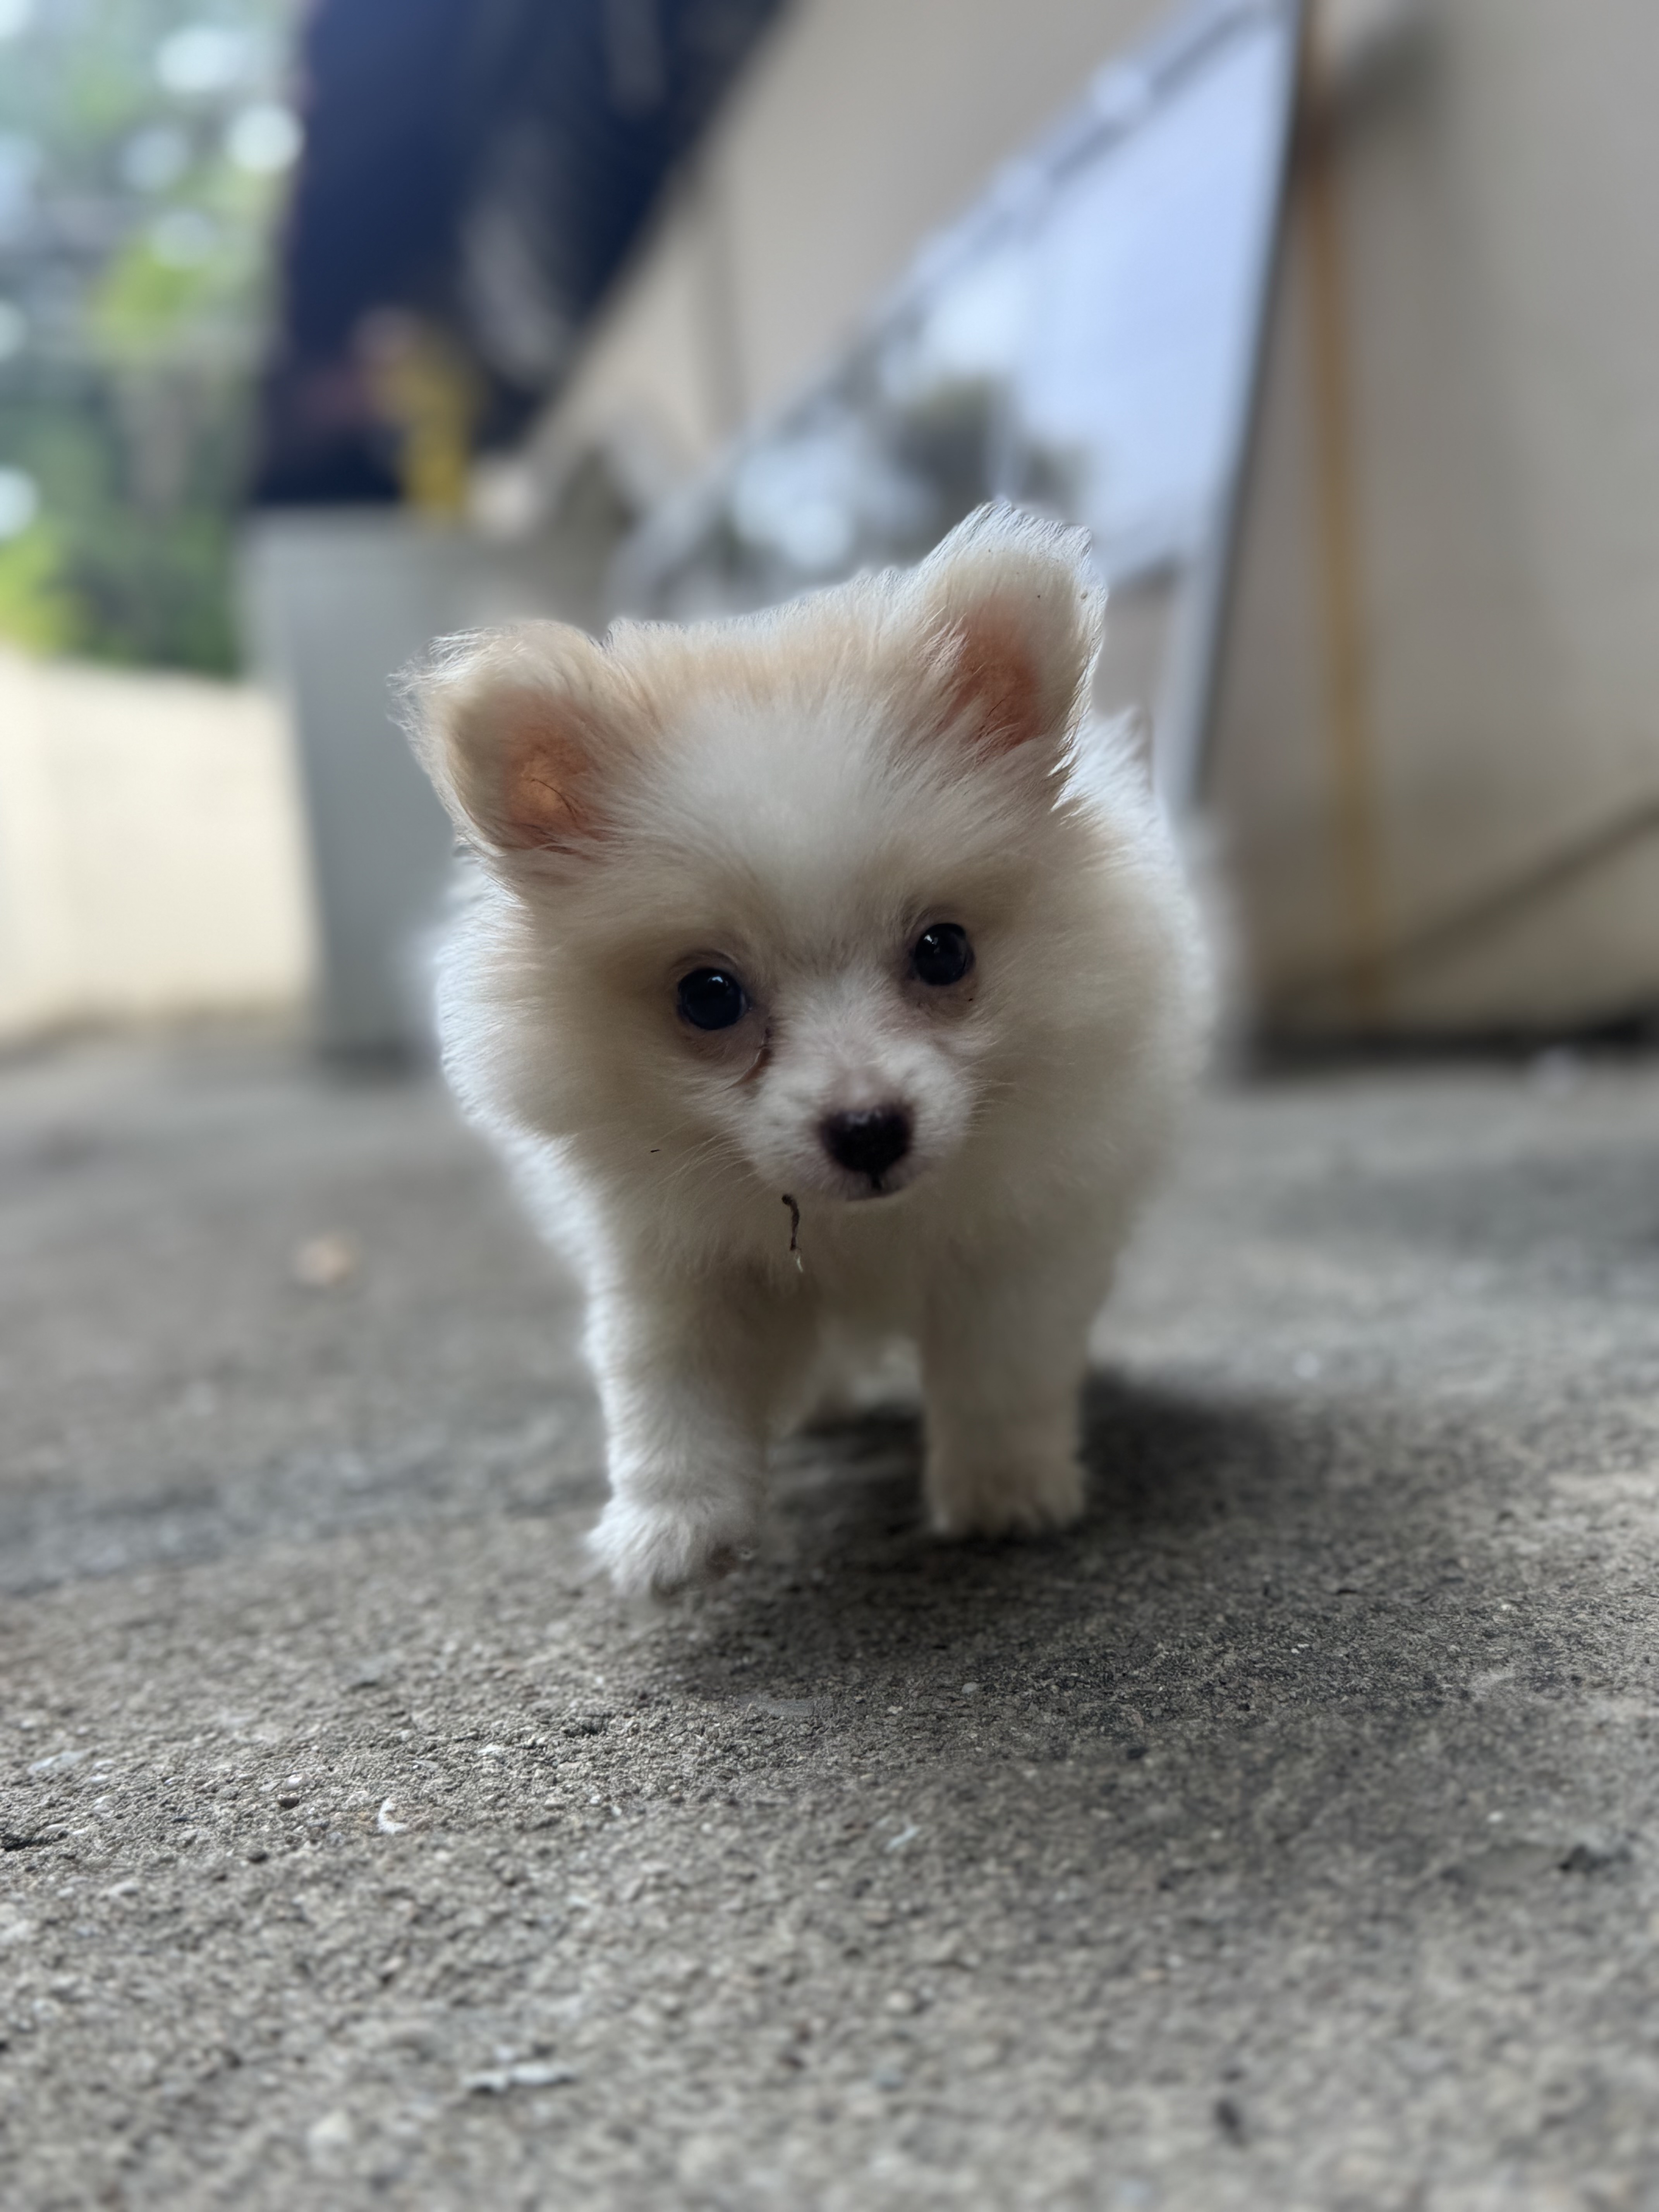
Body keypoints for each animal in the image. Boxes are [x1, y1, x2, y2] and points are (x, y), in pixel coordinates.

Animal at [402, 507, 1212, 1592]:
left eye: (943, 950)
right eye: (707, 996)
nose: (868, 1130)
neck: (860, 1229)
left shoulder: (1021, 1243)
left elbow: (1001, 1373)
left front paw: (1005, 1496)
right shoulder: (673, 1259)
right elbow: (667, 1389)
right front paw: (671, 1531)